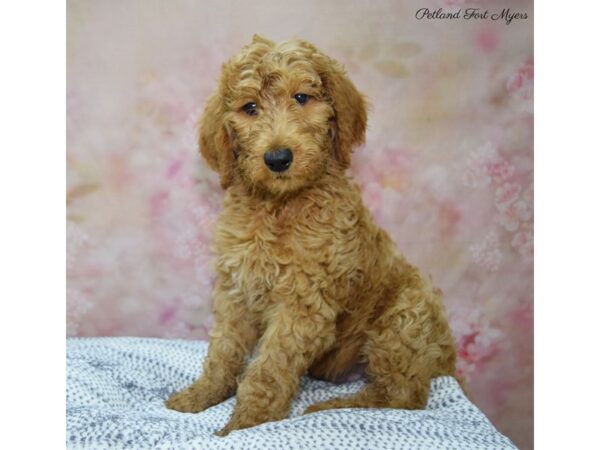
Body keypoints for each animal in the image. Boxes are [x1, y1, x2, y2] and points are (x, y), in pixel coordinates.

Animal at [166, 34, 458, 436]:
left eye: (302, 98)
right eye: (250, 108)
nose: (277, 158)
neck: (280, 205)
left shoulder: (303, 304)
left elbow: (268, 369)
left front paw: (245, 424)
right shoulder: (236, 291)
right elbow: (223, 351)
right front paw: (200, 395)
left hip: (405, 318)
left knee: (403, 396)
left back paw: (332, 406)